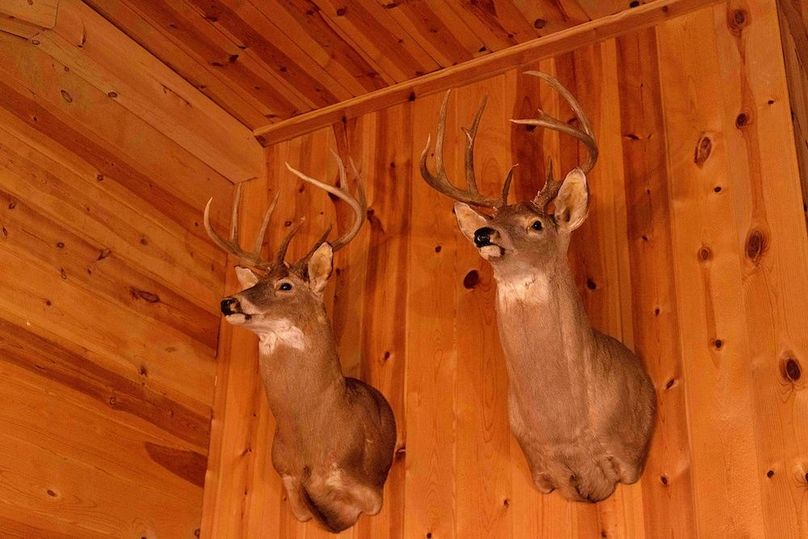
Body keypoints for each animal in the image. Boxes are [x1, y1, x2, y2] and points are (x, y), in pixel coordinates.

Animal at [204, 154, 397, 532]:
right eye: (254, 284)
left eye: (285, 285)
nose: (229, 302)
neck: (312, 448)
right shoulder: (289, 479)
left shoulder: (368, 487)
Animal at [420, 71, 656, 503]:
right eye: (492, 219)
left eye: (537, 223)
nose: (482, 234)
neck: (566, 430)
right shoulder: (545, 472)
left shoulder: (629, 456)